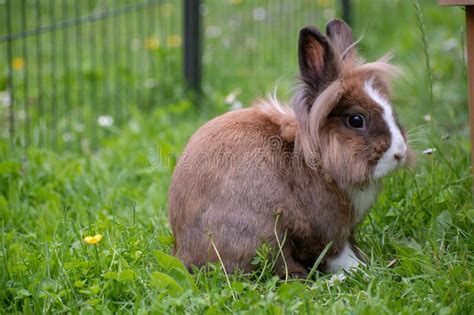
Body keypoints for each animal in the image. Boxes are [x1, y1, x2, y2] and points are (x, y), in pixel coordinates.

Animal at [168, 18, 412, 278]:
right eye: (356, 120)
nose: (399, 153)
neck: (318, 162)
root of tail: (183, 252)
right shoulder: (328, 229)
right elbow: (338, 254)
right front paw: (361, 270)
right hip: (267, 234)